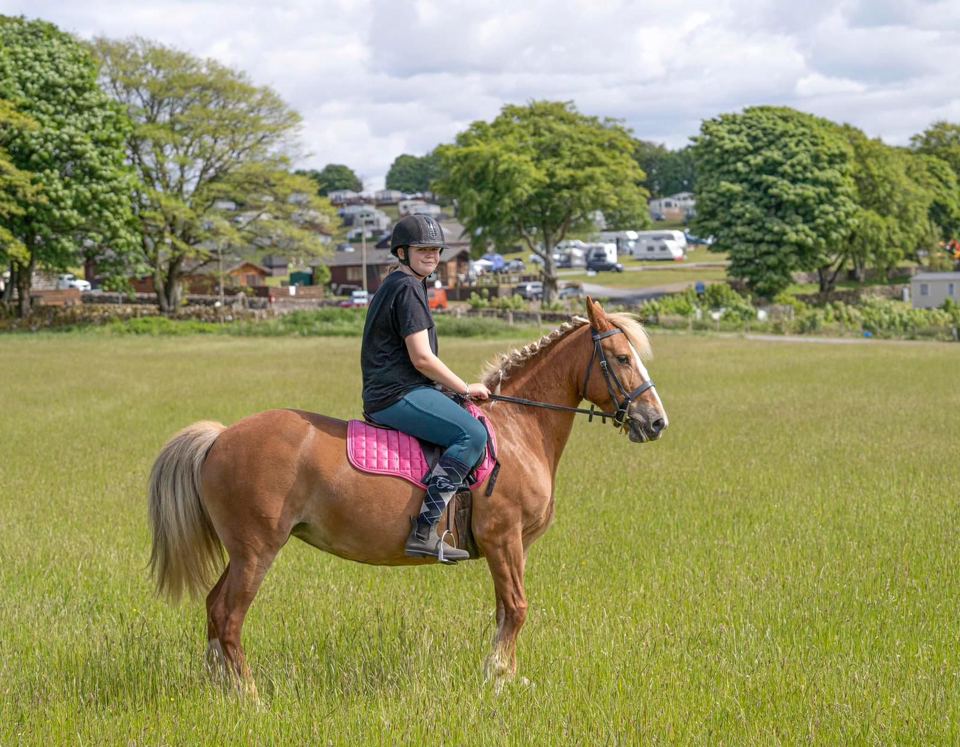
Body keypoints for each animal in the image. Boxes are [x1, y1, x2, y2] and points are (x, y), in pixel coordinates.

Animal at [146, 298, 668, 698]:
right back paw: (250, 697)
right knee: (228, 615)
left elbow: (505, 611)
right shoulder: (504, 539)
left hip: (241, 553)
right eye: (622, 357)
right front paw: (500, 679)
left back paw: (221, 690)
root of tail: (219, 437)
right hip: (257, 551)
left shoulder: (509, 548)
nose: (656, 421)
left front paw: (502, 676)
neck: (517, 431)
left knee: (214, 608)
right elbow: (517, 609)